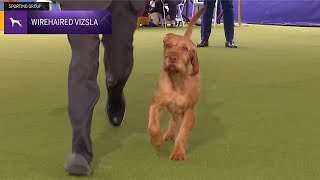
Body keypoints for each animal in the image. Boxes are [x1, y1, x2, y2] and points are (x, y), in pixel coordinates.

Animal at [148, 7, 205, 161]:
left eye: (185, 49)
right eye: (168, 45)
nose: (172, 58)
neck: (177, 80)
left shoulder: (188, 109)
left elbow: (183, 133)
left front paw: (178, 152)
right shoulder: (156, 104)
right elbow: (152, 125)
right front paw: (157, 141)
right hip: (171, 107)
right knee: (173, 118)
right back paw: (169, 133)